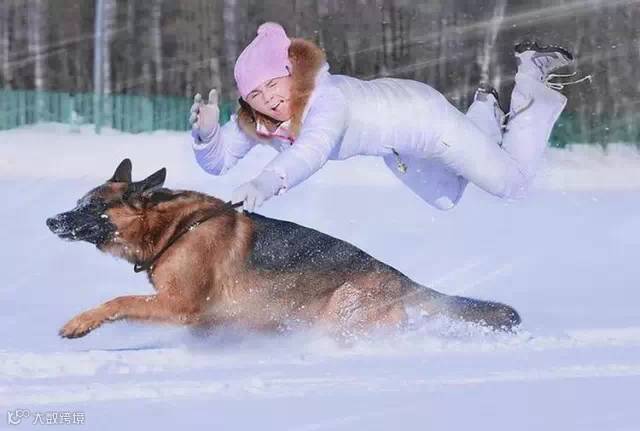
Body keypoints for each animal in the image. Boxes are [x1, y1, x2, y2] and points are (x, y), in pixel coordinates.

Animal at [46, 159, 520, 339]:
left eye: (92, 207)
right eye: (78, 202)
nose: (51, 221)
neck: (174, 228)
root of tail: (400, 278)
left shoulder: (180, 305)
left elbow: (118, 300)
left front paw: (79, 323)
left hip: (338, 313)